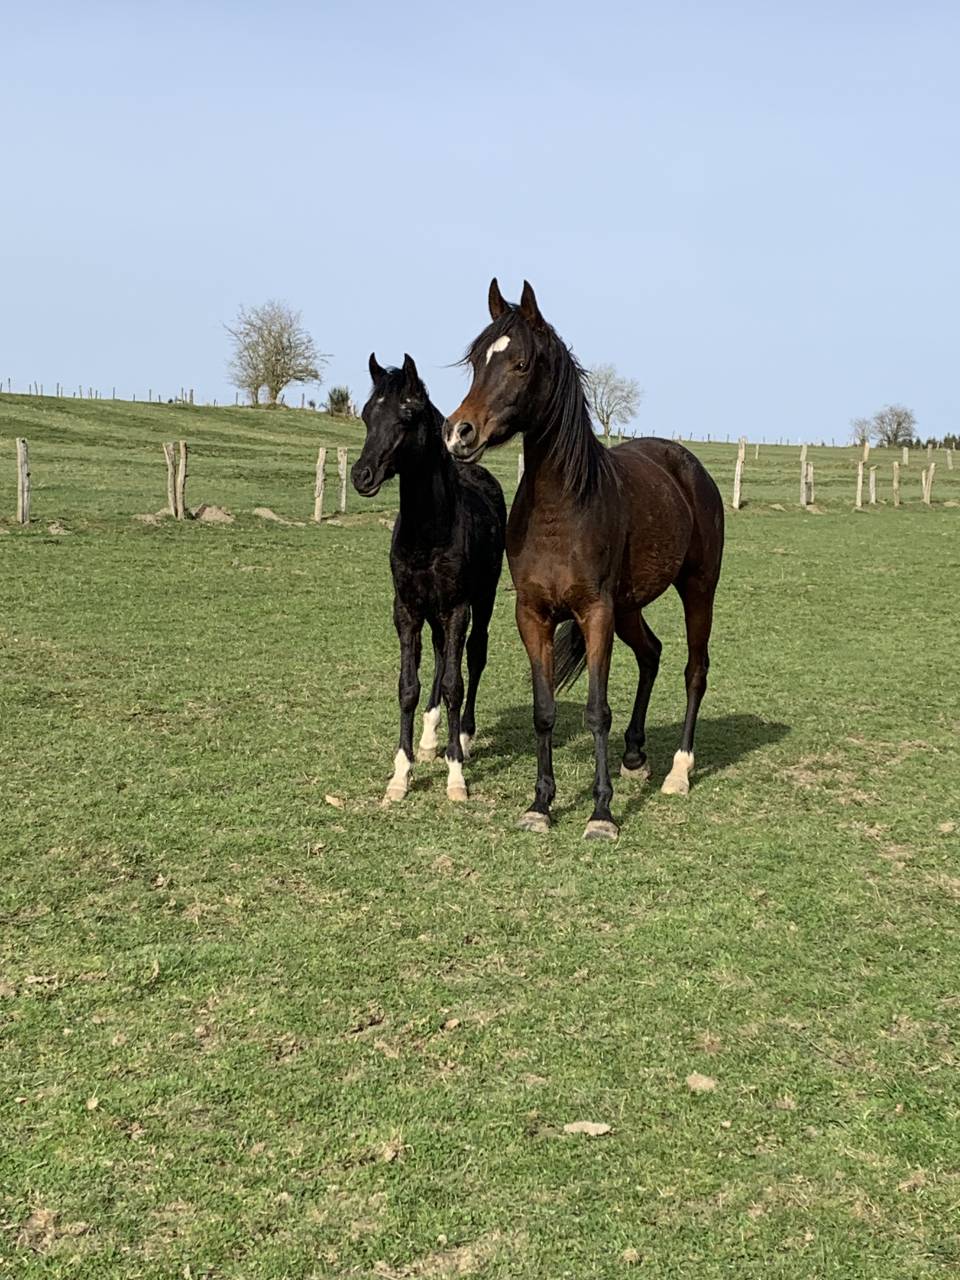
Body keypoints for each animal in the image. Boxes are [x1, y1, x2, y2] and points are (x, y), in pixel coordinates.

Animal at [352, 353, 506, 805]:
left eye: (406, 416)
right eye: (367, 415)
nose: (361, 475)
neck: (428, 532)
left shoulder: (457, 608)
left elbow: (455, 682)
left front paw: (456, 774)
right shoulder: (406, 609)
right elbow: (409, 685)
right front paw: (401, 773)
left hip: (484, 599)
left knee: (474, 656)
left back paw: (464, 737)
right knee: (439, 655)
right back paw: (429, 737)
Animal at [443, 280, 724, 840]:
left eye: (521, 364)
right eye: (476, 362)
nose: (459, 432)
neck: (562, 508)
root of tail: (688, 465)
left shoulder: (596, 613)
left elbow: (596, 711)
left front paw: (601, 814)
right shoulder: (533, 615)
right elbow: (544, 711)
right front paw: (540, 805)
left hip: (698, 589)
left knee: (694, 669)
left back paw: (679, 771)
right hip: (631, 607)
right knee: (652, 653)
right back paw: (635, 754)